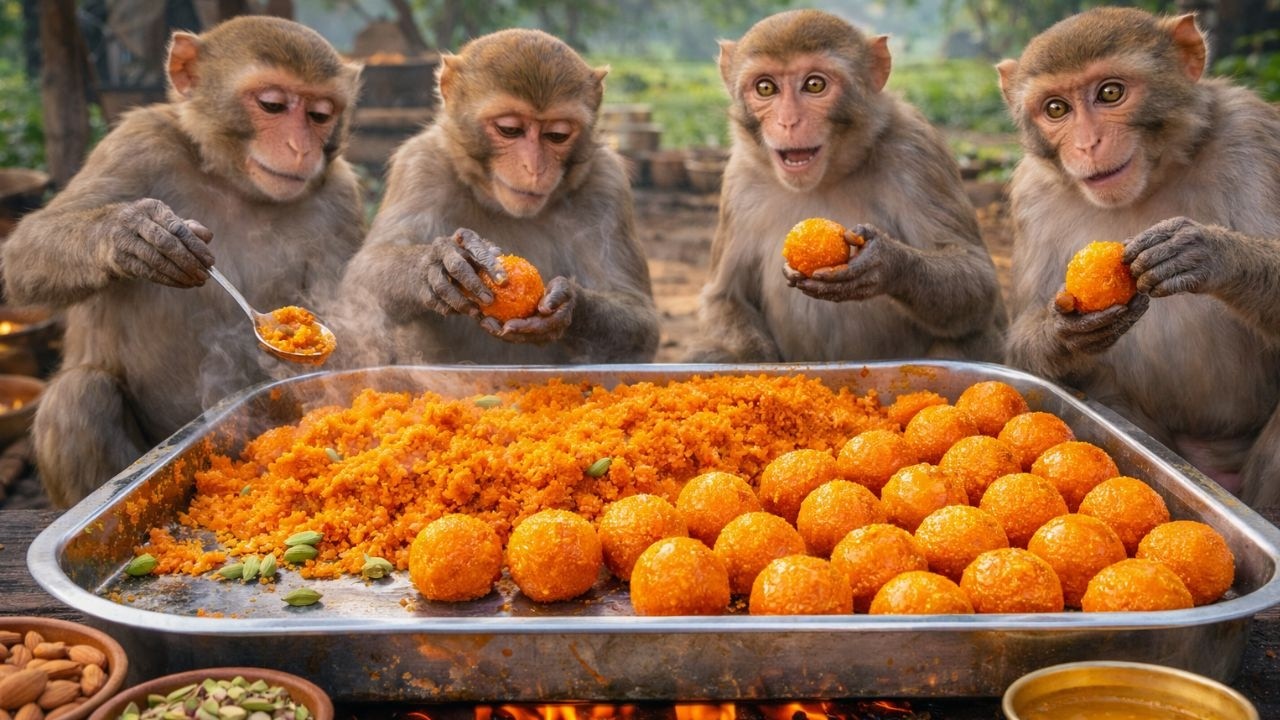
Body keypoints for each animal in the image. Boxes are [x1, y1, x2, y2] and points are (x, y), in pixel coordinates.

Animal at [1, 16, 365, 507]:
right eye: (272, 105)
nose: (298, 147)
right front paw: (133, 233)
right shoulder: (137, 142)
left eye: (320, 115)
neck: (234, 184)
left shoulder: (340, 198)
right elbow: (23, 253)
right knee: (78, 397)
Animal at [338, 28, 659, 365]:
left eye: (557, 135)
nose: (534, 167)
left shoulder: (608, 185)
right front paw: (437, 264)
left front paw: (567, 305)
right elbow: (361, 283)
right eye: (509, 130)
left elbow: (640, 320)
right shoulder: (419, 165)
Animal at [685, 9, 1006, 364]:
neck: (826, 178)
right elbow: (725, 296)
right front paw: (755, 364)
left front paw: (885, 263)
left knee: (974, 337)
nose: (788, 121)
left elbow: (979, 281)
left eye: (814, 84)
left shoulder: (917, 151)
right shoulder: (739, 180)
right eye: (766, 88)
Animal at [998, 8, 1280, 507]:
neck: (1151, 181)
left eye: (1110, 93)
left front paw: (1208, 253)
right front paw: (1062, 333)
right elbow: (1021, 348)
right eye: (1056, 109)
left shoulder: (1254, 138)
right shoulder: (1031, 192)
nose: (1087, 144)